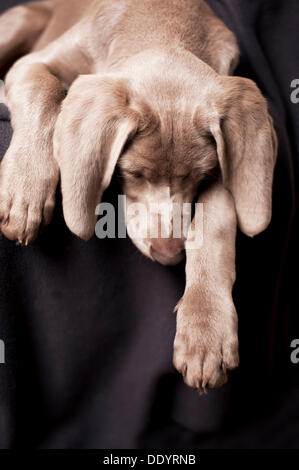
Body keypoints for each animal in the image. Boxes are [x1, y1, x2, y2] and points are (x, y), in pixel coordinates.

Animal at [0, 0, 278, 390]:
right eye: (132, 173)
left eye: (203, 176)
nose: (169, 255)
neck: (162, 22)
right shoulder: (34, 63)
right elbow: (46, 88)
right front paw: (25, 193)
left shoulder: (227, 159)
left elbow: (218, 219)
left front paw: (206, 331)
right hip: (23, 19)